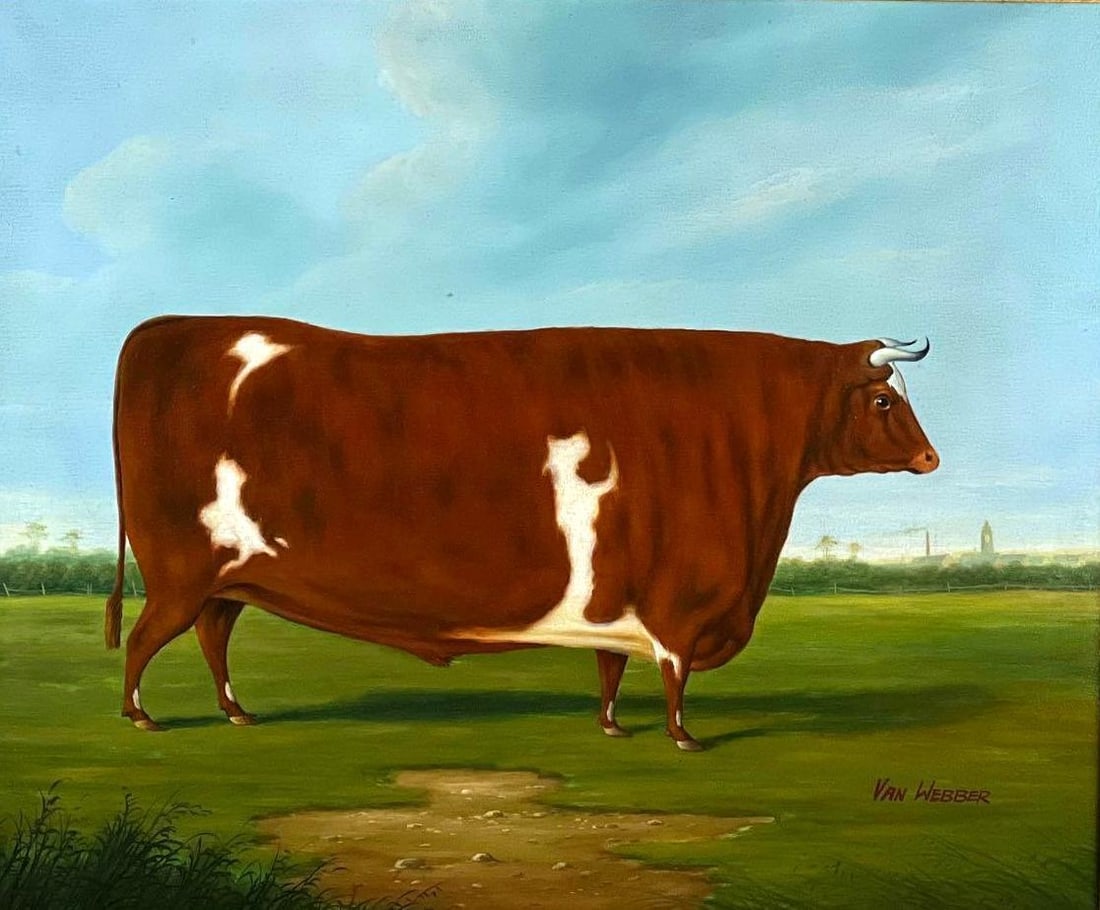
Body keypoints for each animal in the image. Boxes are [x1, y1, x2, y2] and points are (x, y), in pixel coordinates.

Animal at [104, 316, 937, 751]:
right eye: (885, 401)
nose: (932, 458)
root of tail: (161, 328)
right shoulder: (682, 601)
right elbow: (673, 676)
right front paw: (683, 738)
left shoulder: (623, 594)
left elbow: (611, 666)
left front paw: (611, 726)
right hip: (181, 572)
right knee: (146, 637)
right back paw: (142, 716)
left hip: (226, 582)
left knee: (212, 638)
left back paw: (236, 712)